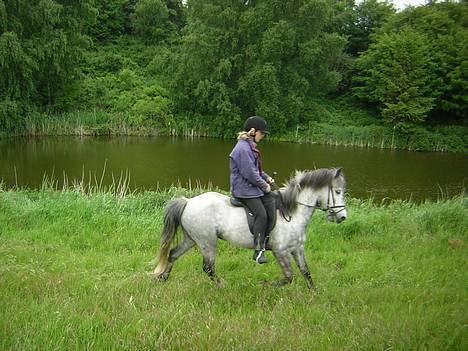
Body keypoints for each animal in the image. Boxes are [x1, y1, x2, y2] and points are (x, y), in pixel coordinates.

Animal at [152, 169, 346, 290]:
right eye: (337, 192)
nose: (343, 217)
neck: (292, 212)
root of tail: (188, 201)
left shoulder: (297, 248)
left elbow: (306, 271)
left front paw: (314, 293)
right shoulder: (281, 251)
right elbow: (289, 276)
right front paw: (265, 286)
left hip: (192, 239)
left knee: (173, 254)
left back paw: (163, 277)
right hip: (207, 242)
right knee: (208, 268)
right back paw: (222, 285)